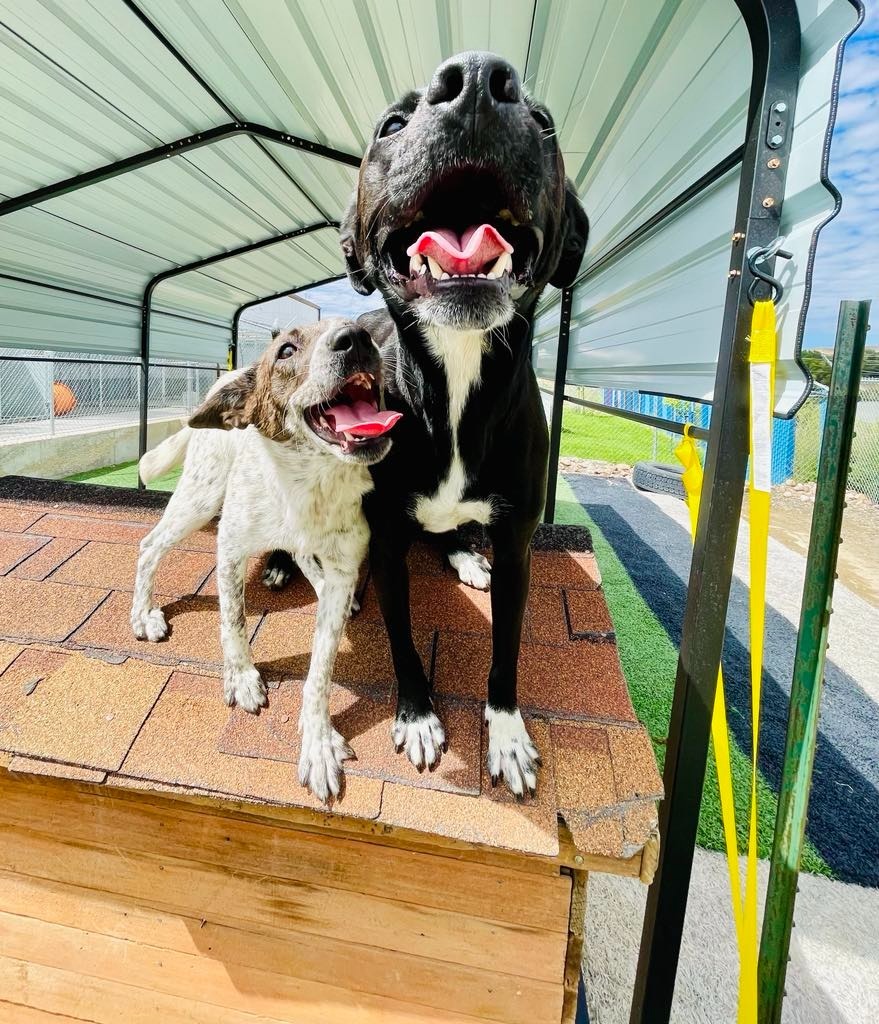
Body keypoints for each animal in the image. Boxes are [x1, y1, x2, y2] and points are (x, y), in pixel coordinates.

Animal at [129, 317, 401, 798]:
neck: (307, 484)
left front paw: (318, 743)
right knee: (150, 545)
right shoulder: (231, 549)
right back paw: (144, 613)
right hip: (200, 498)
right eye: (287, 350)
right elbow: (233, 622)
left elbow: (320, 671)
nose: (356, 338)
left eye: (360, 329)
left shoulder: (343, 562)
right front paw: (241, 677)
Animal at [268, 51, 581, 794]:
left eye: (543, 121)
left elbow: (506, 651)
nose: (476, 82)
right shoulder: (383, 538)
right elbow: (403, 640)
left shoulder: (519, 543)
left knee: (457, 536)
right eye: (392, 123)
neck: (456, 378)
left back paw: (464, 555)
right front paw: (415, 716)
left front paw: (506, 735)